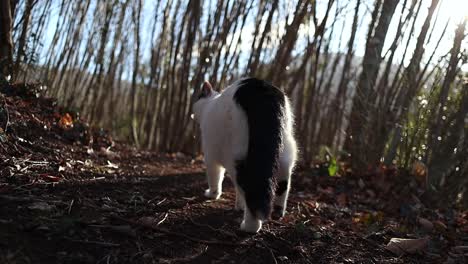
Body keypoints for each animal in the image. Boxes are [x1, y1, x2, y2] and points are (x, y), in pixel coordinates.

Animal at [191, 77, 296, 232]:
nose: (192, 114)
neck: (209, 105)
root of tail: (260, 87)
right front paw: (239, 206)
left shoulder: (211, 156)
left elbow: (215, 179)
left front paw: (213, 194)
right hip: (286, 149)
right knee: (284, 183)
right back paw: (278, 211)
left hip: (238, 156)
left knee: (250, 187)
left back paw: (250, 226)